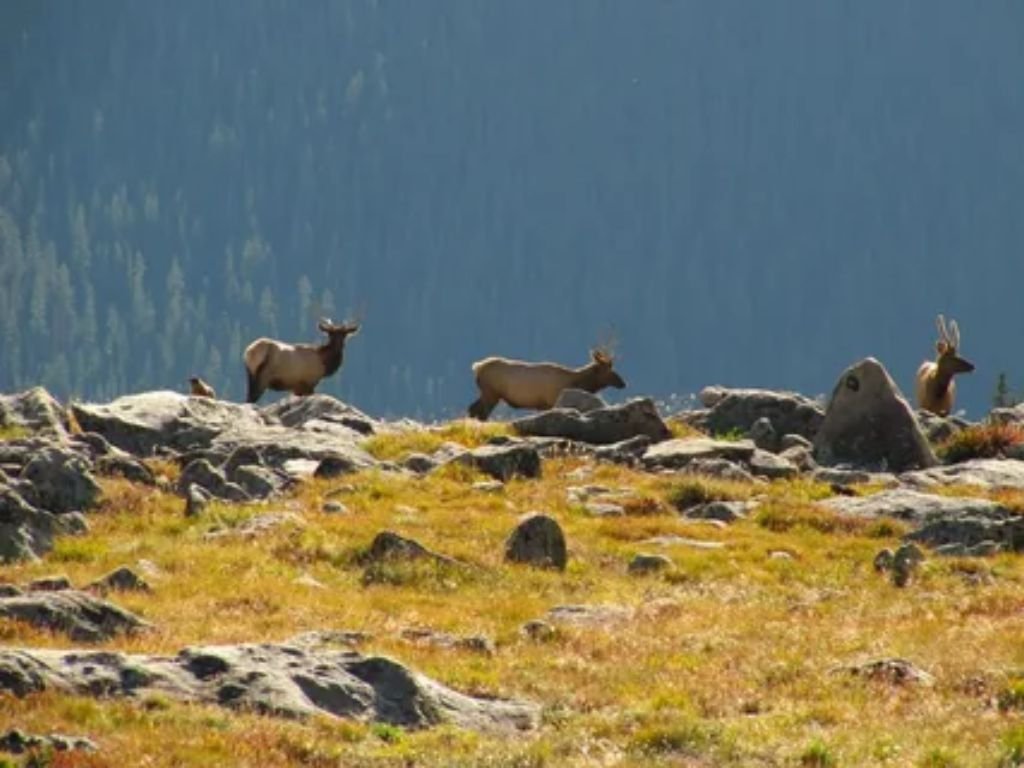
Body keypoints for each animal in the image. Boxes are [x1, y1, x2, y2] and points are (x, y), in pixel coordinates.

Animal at [467, 348, 626, 421]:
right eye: (608, 369)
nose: (623, 383)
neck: (576, 381)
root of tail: (477, 367)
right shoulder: (551, 401)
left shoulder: (542, 405)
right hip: (491, 393)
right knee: (481, 412)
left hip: (487, 393)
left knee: (472, 408)